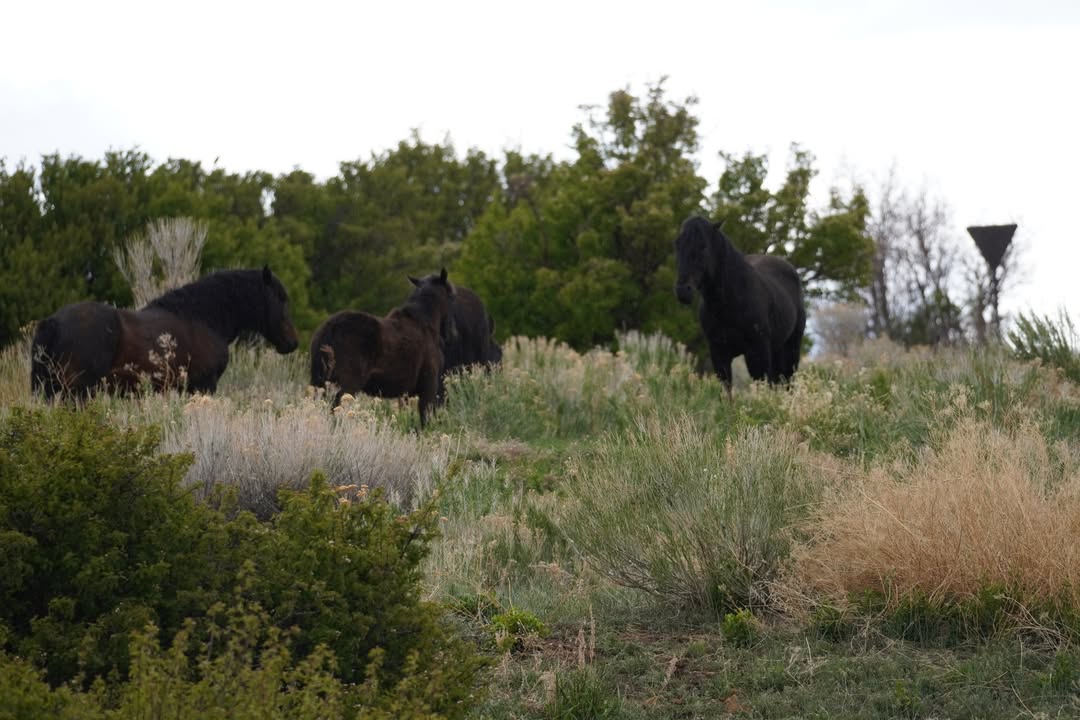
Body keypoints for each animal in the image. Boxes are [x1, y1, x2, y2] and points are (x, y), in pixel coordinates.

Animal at [309, 267, 455, 428]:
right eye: (452, 296)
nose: (450, 332)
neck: (427, 323)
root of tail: (329, 329)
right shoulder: (429, 386)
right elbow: (425, 420)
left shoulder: (405, 392)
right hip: (347, 383)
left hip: (319, 381)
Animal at [674, 216, 805, 395]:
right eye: (678, 245)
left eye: (704, 246)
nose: (683, 291)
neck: (730, 302)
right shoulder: (719, 354)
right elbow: (727, 390)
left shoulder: (757, 352)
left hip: (791, 347)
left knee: (788, 382)